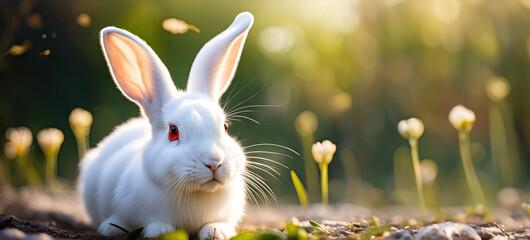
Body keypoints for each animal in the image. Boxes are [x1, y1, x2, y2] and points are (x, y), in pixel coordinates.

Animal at [76, 11, 254, 240]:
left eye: (224, 127)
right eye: (173, 132)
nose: (214, 163)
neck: (196, 194)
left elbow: (218, 223)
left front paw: (216, 231)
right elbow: (148, 222)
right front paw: (160, 230)